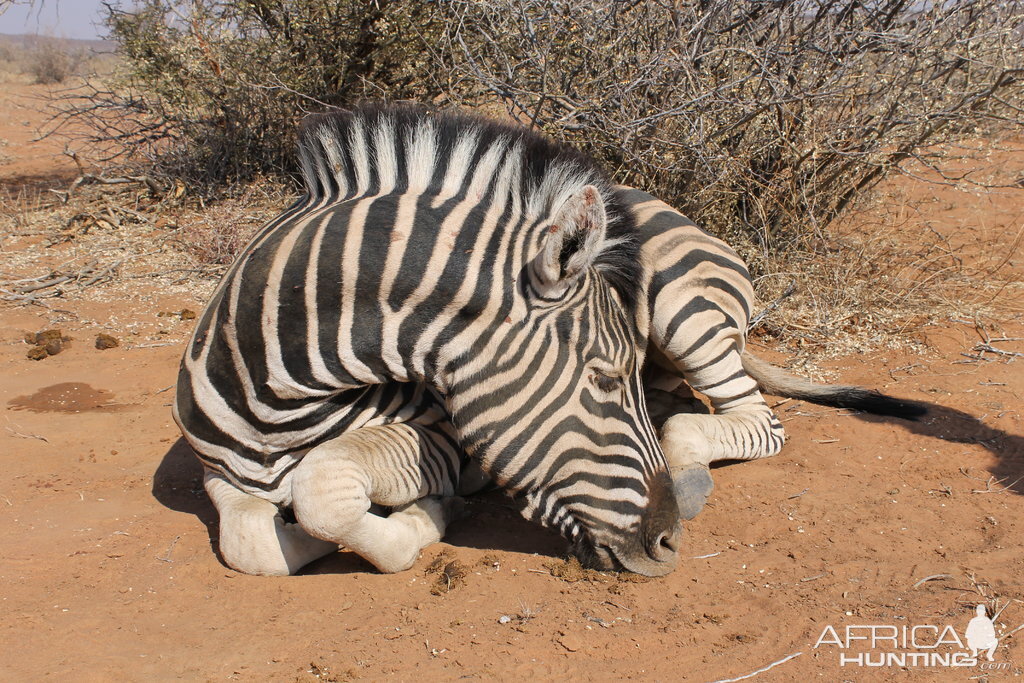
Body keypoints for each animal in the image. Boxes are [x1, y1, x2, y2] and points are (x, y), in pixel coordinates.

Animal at [172, 104, 684, 581]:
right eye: (606, 380)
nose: (670, 541)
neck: (279, 408)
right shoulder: (218, 472)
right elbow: (254, 545)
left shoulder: (438, 437)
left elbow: (321, 486)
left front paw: (429, 513)